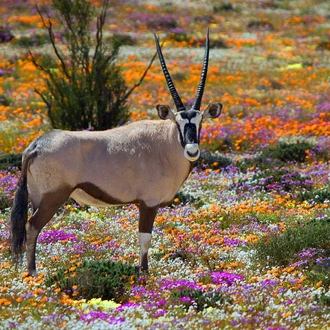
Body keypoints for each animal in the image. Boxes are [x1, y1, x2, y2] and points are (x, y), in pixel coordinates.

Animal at [9, 29, 222, 276]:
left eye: (200, 122)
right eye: (177, 122)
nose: (191, 149)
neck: (165, 144)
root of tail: (35, 146)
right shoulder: (148, 203)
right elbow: (145, 239)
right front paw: (144, 274)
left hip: (37, 198)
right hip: (53, 198)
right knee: (32, 226)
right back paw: (32, 273)